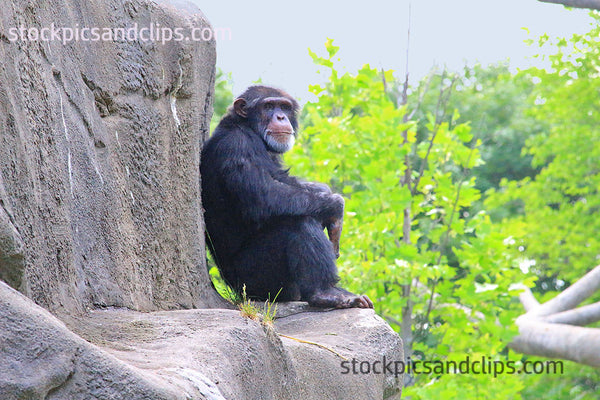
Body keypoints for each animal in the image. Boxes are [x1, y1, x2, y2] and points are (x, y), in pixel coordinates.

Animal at [200, 85, 370, 310]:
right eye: (268, 106)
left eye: (284, 107)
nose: (280, 116)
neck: (247, 128)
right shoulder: (236, 147)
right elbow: (265, 196)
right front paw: (336, 207)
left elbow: (284, 180)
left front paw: (325, 192)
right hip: (256, 281)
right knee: (297, 222)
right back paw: (325, 293)